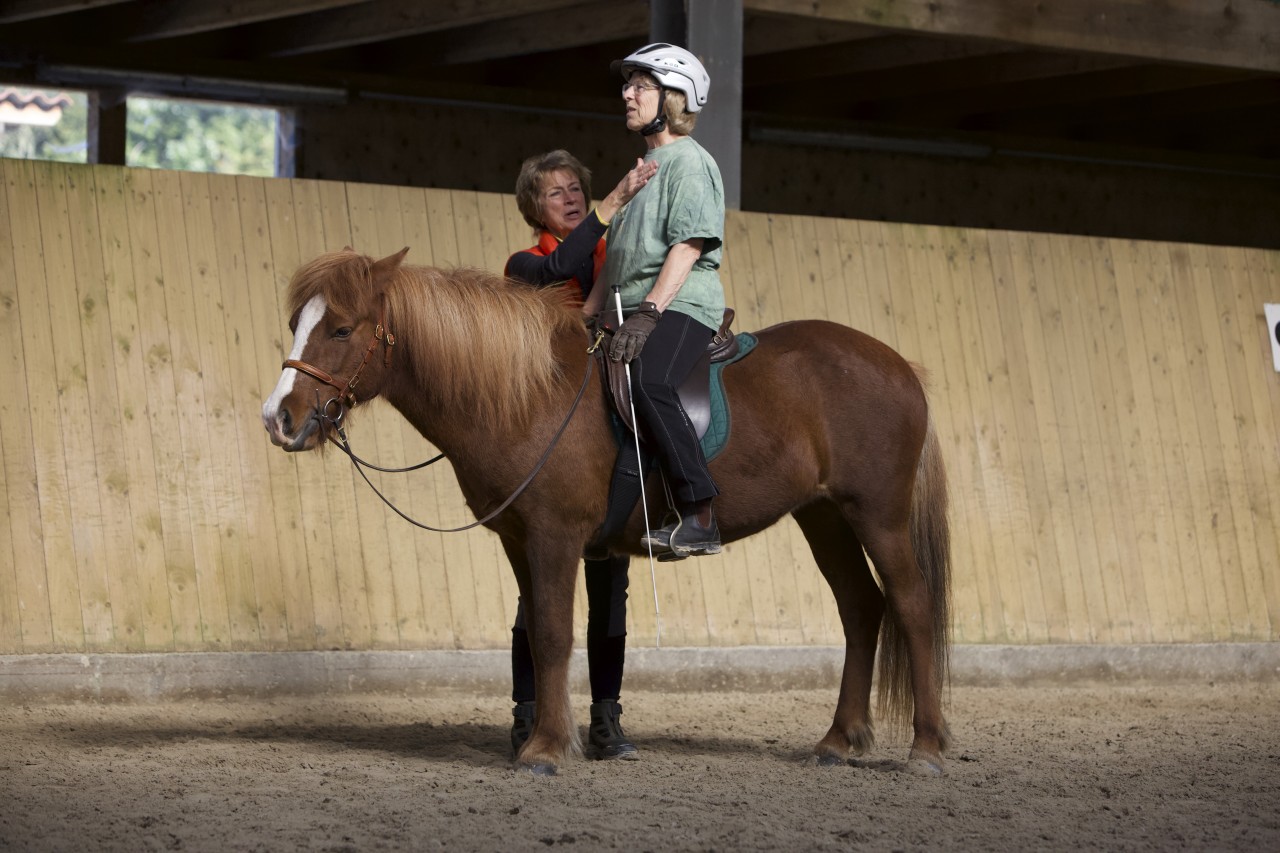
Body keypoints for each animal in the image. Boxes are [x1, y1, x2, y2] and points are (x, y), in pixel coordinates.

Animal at [261, 247, 953, 775]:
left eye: (342, 329)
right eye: (297, 322)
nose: (279, 419)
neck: (531, 394)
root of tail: (900, 367)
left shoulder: (555, 536)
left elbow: (554, 633)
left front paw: (545, 749)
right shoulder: (519, 540)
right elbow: (535, 633)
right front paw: (546, 737)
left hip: (877, 515)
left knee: (912, 606)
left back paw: (925, 746)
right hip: (825, 517)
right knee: (861, 609)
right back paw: (839, 739)